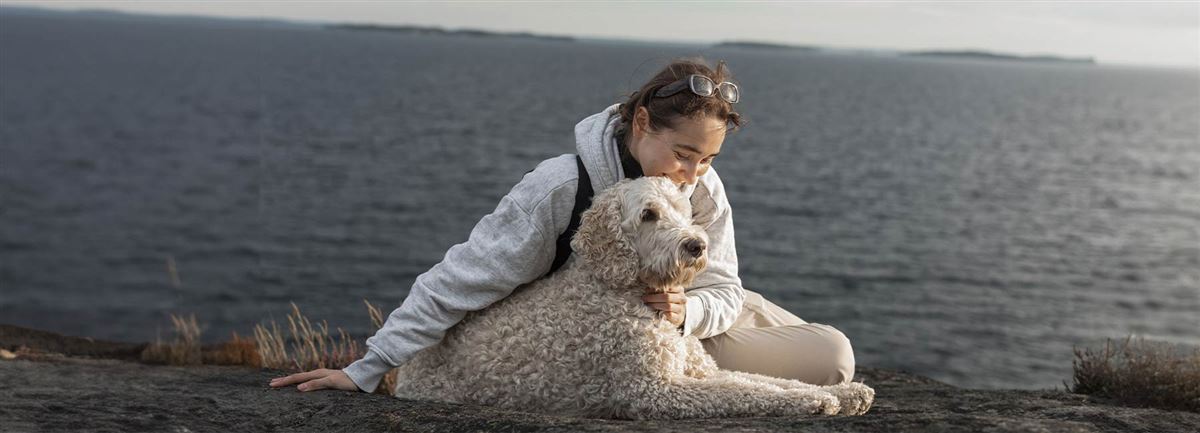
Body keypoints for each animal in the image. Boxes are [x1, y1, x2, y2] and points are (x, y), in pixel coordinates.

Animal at [391, 175, 873, 417]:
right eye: (648, 215)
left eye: (682, 209)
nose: (696, 245)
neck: (626, 290)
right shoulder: (656, 391)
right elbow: (748, 392)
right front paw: (816, 401)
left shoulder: (698, 371)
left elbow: (764, 381)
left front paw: (846, 393)